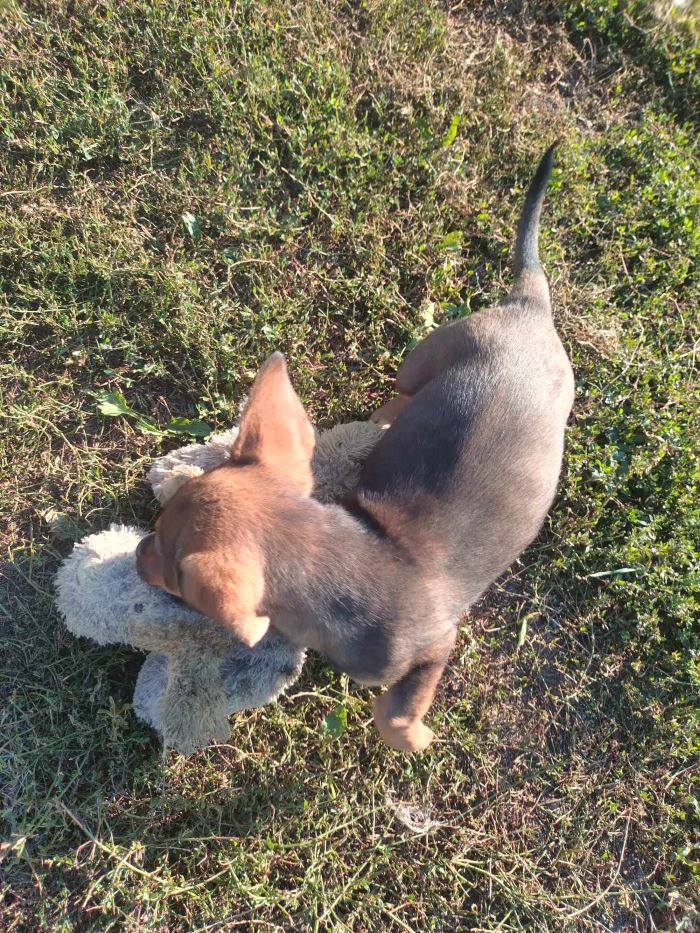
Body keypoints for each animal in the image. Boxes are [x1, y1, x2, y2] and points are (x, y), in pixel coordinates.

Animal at [137, 147, 576, 756]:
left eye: (168, 563)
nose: (134, 557)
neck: (340, 560)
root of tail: (528, 308)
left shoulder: (434, 645)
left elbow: (392, 714)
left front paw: (417, 736)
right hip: (424, 358)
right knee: (404, 394)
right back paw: (381, 420)